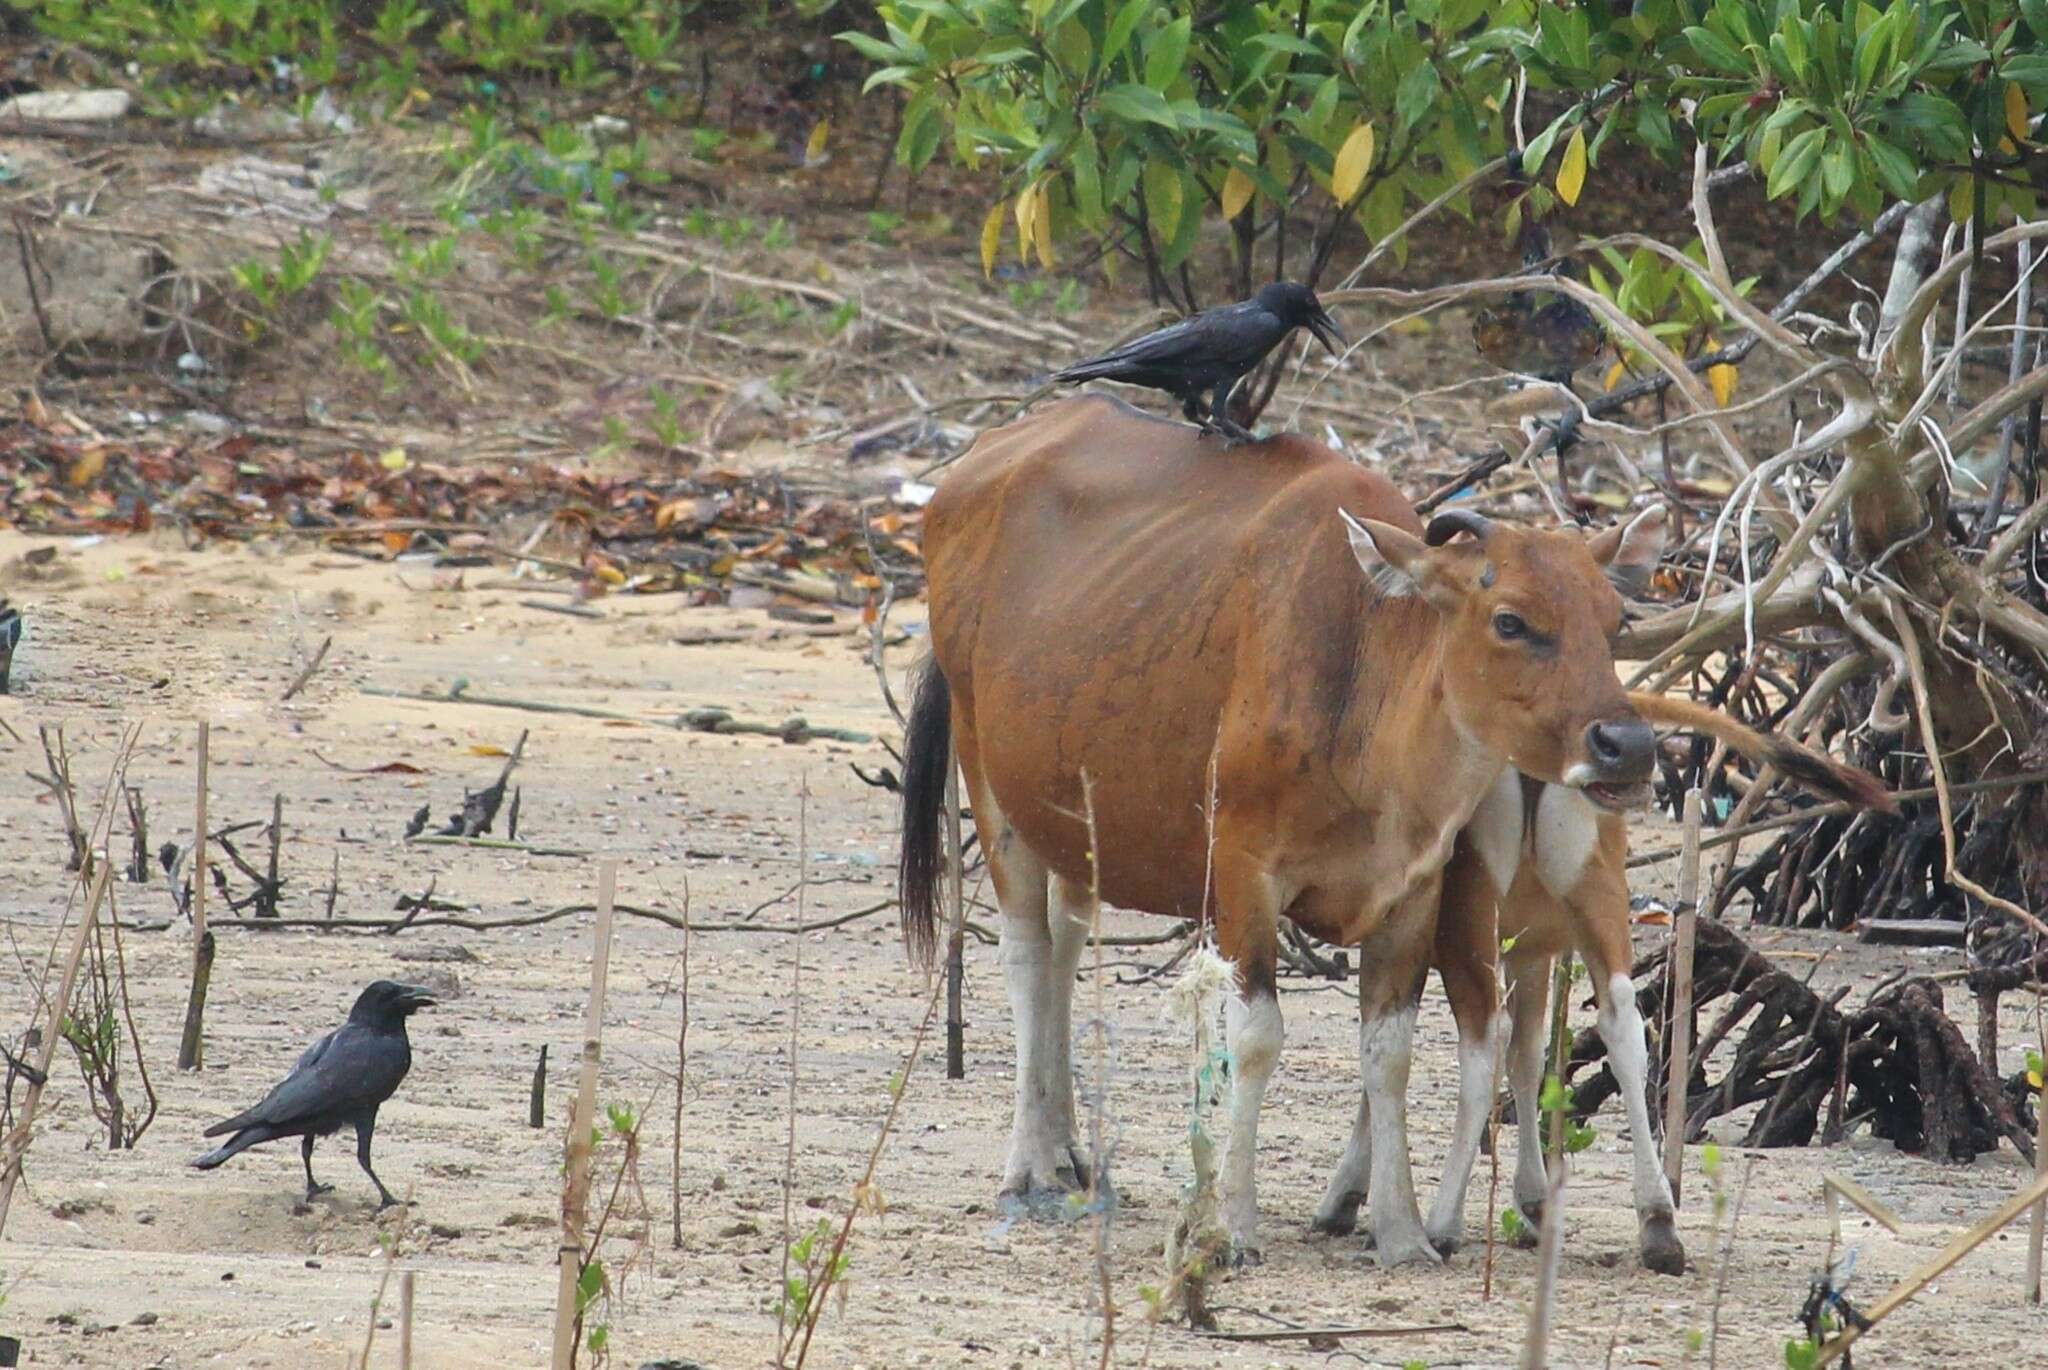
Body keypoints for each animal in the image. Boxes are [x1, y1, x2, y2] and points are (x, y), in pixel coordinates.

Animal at [892, 393, 1662, 1261]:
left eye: (1614, 617)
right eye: (1510, 620)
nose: (1628, 745)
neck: (1359, 687)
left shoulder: (1414, 892)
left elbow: (1389, 1052)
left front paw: (1401, 1230)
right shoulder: (1242, 874)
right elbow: (1256, 1037)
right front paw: (1233, 1220)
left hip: (1072, 821)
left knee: (1065, 944)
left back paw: (1067, 1153)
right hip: (989, 780)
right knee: (1025, 953)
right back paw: (1027, 1169)